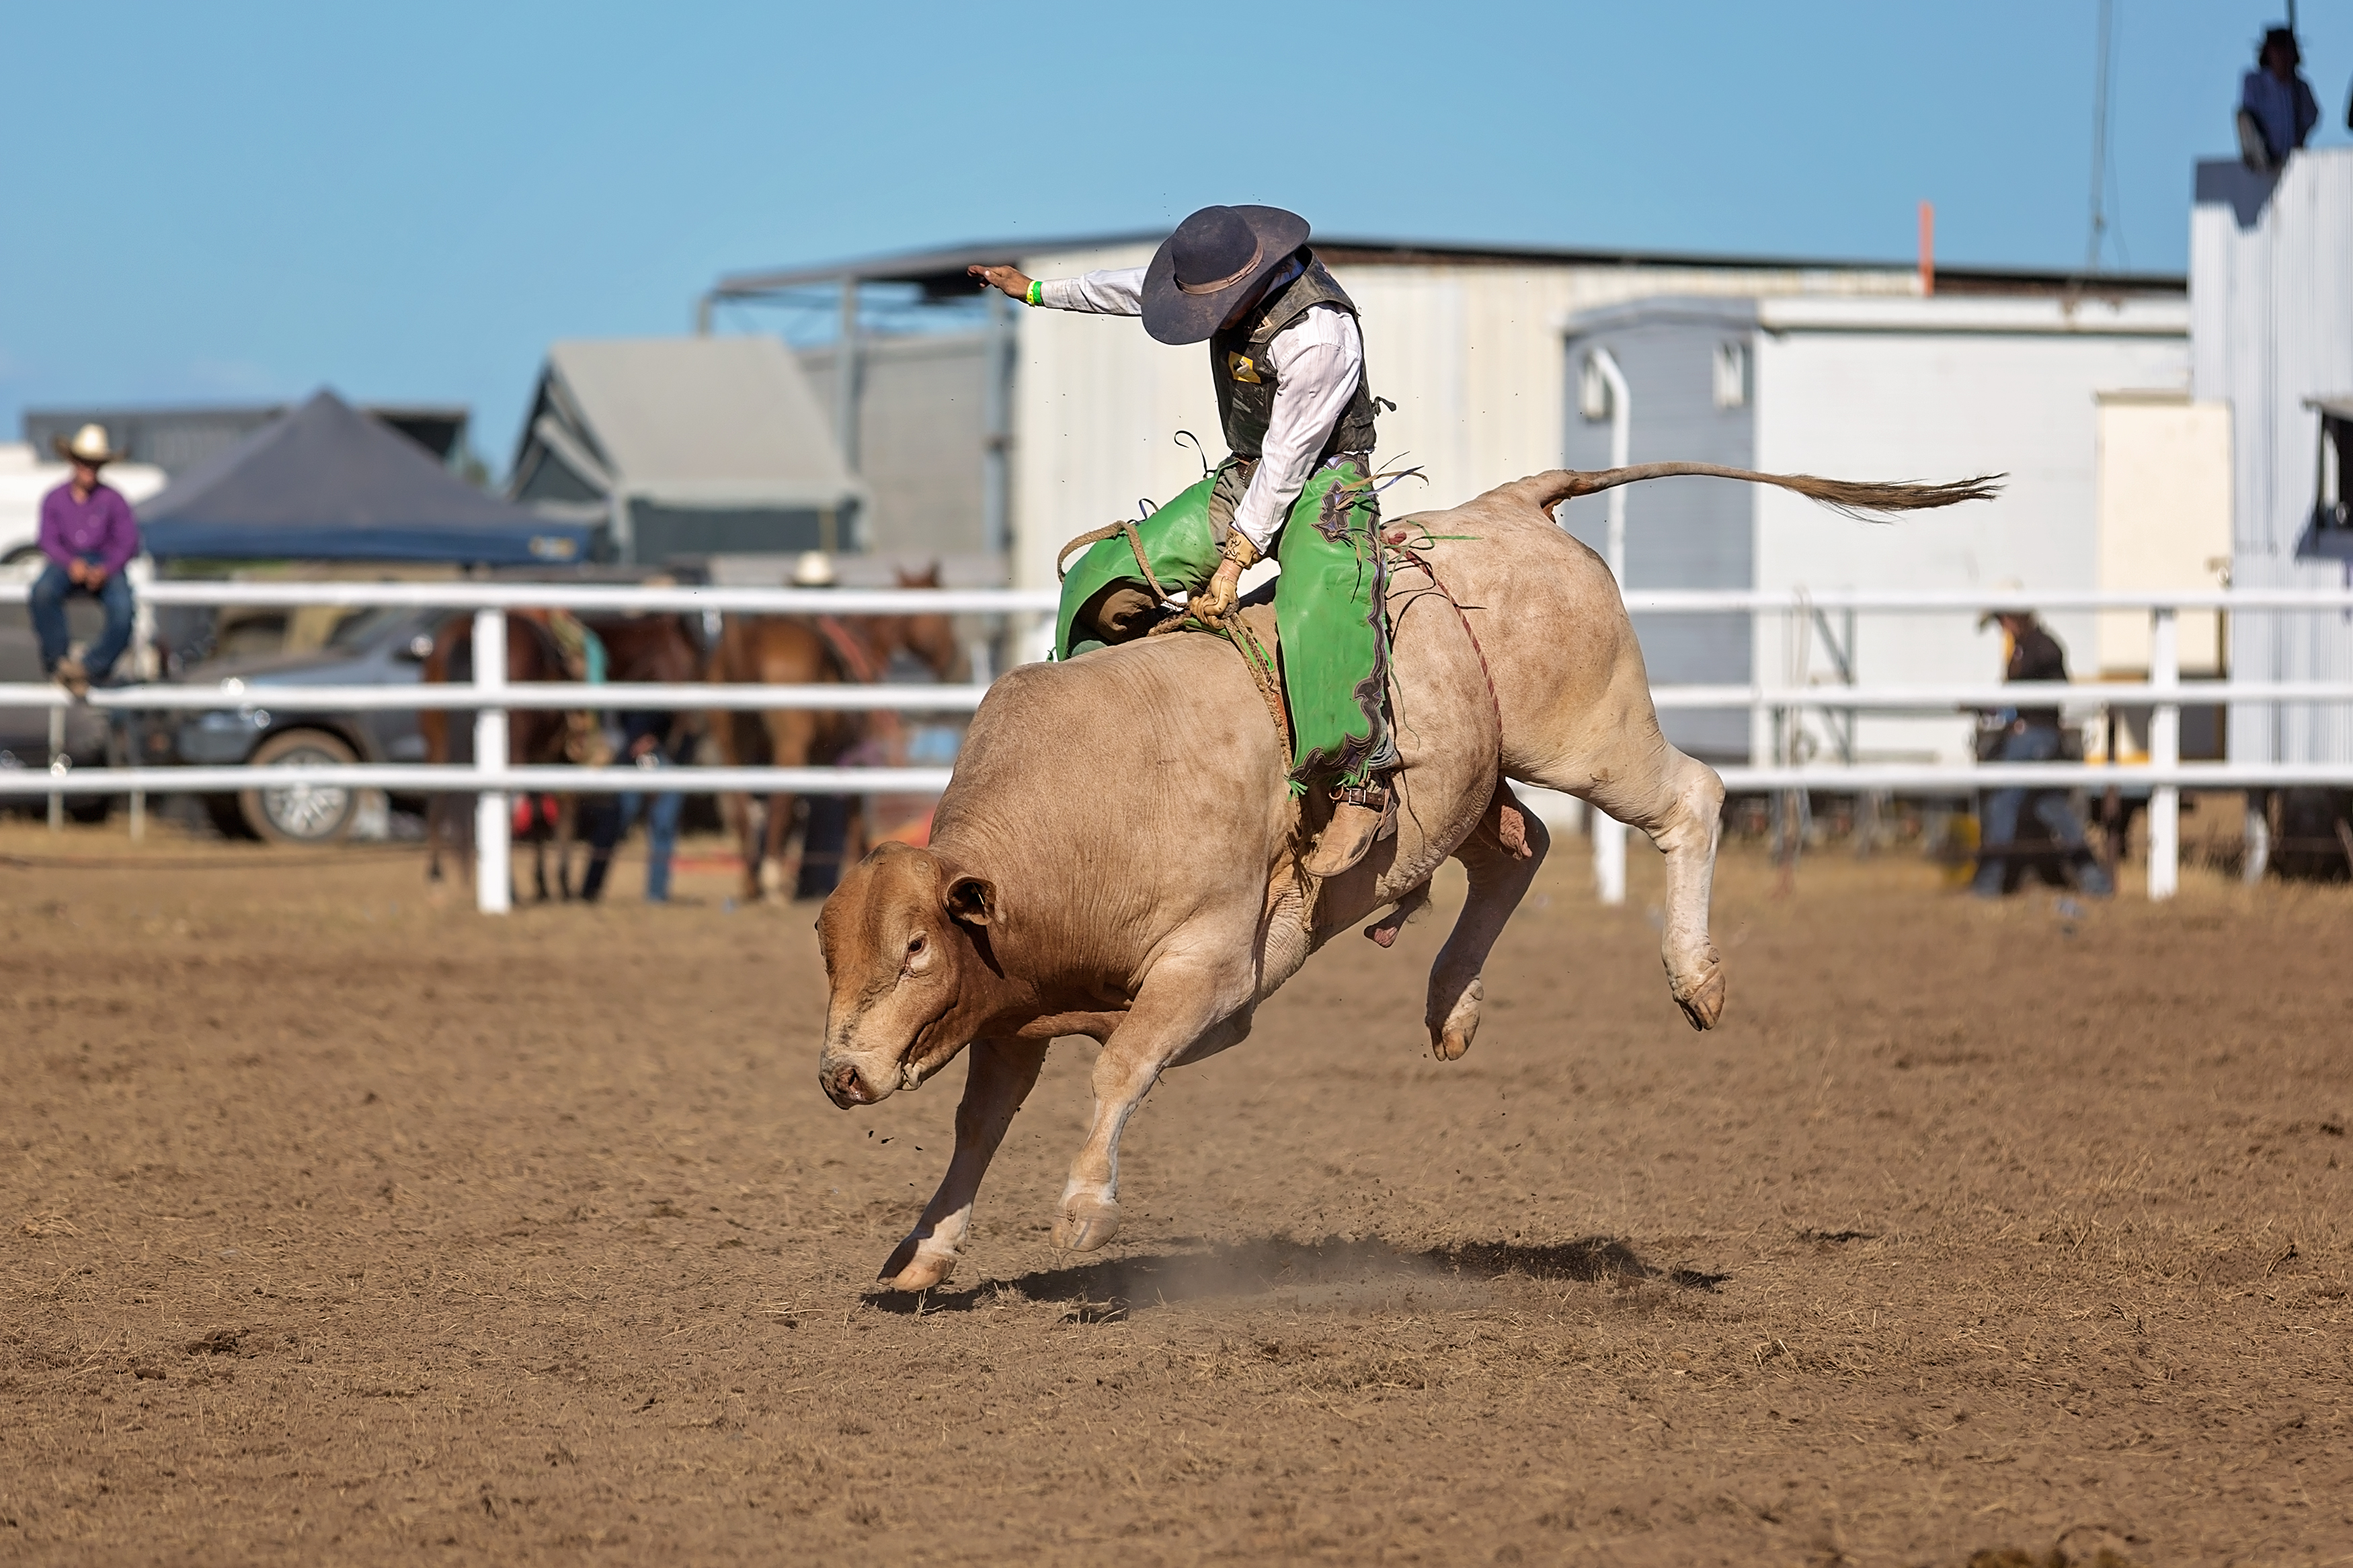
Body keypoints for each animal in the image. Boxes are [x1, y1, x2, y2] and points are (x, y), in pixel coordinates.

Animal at [815, 465, 1996, 1292]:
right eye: (831, 952)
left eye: (915, 949)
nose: (838, 1077)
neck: (1078, 821)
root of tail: (1515, 504)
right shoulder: (1009, 1011)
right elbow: (977, 1129)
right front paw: (922, 1254)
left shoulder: (1209, 971)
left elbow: (1119, 1070)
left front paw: (1082, 1210)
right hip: (1468, 786)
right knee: (1520, 850)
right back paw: (1451, 1001)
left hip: (1594, 739)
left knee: (1693, 797)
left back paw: (1695, 977)